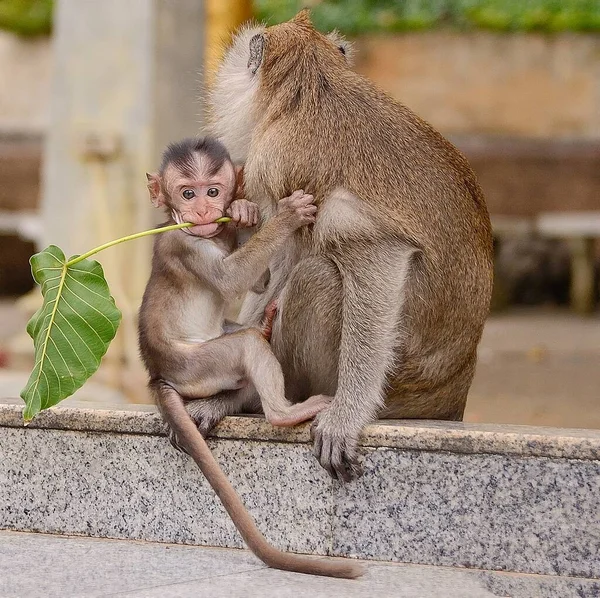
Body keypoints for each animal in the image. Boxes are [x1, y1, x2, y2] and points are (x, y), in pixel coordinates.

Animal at [205, 11, 492, 486]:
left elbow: (371, 250)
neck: (313, 84)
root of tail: (454, 393)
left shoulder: (272, 161)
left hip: (395, 386)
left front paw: (346, 416)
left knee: (316, 277)